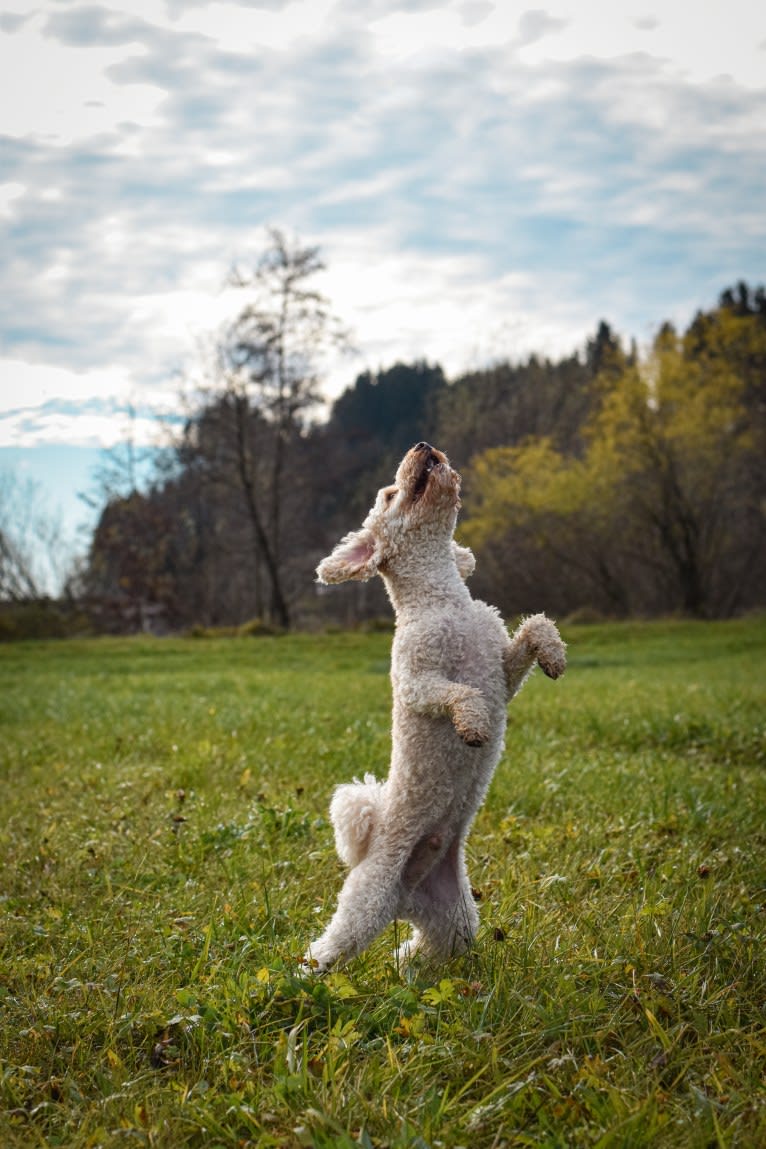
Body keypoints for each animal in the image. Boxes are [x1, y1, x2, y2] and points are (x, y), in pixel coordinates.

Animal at [303, 438, 562, 969]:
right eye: (388, 495)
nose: (422, 445)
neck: (443, 599)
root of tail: (406, 897)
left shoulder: (501, 672)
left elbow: (533, 629)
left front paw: (554, 655)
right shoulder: (415, 679)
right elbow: (457, 693)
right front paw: (474, 724)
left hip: (454, 919)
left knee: (420, 954)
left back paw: (410, 968)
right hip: (365, 905)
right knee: (324, 951)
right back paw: (294, 977)